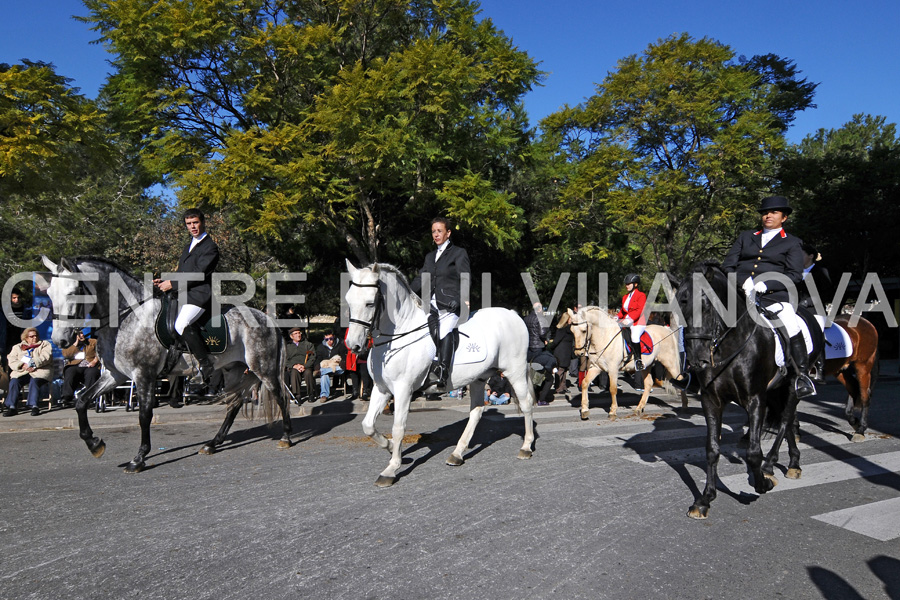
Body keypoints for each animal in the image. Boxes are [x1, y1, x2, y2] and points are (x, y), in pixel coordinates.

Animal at [44, 255, 290, 472]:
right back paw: (212, 444)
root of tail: (267, 318)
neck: (128, 317)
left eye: (73, 293)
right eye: (48, 293)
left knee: (279, 396)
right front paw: (95, 444)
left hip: (264, 368)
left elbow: (144, 415)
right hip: (233, 370)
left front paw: (139, 458)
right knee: (234, 404)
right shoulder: (115, 375)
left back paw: (286, 437)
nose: (60, 340)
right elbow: (82, 401)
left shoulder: (144, 375)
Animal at [344, 262, 536, 488]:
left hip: (514, 371)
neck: (399, 333)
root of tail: (513, 314)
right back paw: (457, 454)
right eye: (348, 300)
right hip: (479, 378)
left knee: (526, 403)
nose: (353, 345)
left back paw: (526, 447)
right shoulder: (381, 389)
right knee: (477, 411)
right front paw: (390, 447)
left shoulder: (403, 390)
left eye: (370, 303)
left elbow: (399, 428)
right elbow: (367, 425)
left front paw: (391, 469)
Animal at [676, 264, 824, 516]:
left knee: (785, 420)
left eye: (706, 305)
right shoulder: (711, 400)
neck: (731, 344)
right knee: (788, 420)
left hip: (792, 385)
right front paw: (705, 499)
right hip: (776, 390)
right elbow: (712, 449)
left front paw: (761, 483)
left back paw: (770, 465)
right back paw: (793, 463)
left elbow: (754, 452)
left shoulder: (755, 398)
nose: (697, 359)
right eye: (680, 303)